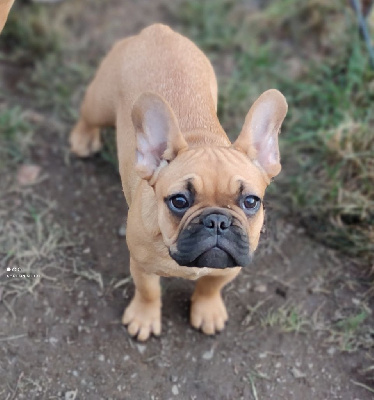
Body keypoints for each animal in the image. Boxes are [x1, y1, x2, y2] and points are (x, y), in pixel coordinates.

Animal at [69, 23, 286, 340]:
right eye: (179, 201)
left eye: (250, 202)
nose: (217, 221)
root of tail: (157, 31)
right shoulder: (142, 265)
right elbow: (148, 292)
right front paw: (144, 318)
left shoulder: (231, 265)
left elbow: (211, 285)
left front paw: (208, 310)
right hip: (101, 101)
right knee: (89, 116)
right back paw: (83, 138)